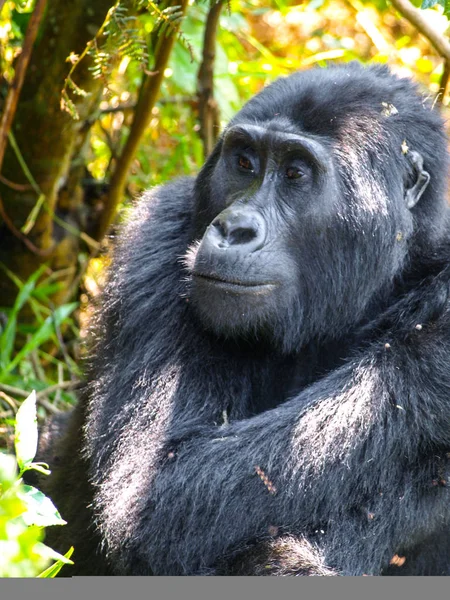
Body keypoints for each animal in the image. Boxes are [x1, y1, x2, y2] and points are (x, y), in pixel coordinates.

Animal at [40, 62, 450, 576]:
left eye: (295, 173)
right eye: (244, 163)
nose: (234, 228)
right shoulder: (157, 232)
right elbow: (163, 485)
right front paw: (434, 359)